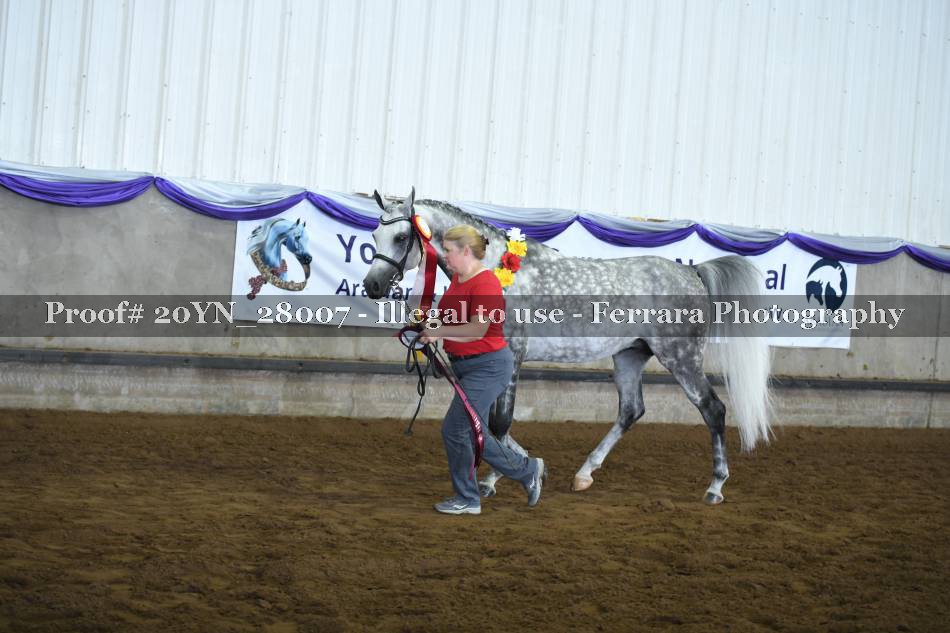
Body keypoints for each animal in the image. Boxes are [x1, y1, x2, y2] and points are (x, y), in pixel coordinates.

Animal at [362, 189, 772, 504]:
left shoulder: (513, 356)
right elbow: (488, 421)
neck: (497, 269)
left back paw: (715, 487)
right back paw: (584, 474)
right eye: (375, 236)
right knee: (631, 410)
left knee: (713, 409)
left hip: (681, 356)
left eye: (402, 238)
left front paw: (495, 479)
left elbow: (498, 422)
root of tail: (692, 271)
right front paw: (529, 466)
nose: (372, 286)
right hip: (630, 354)